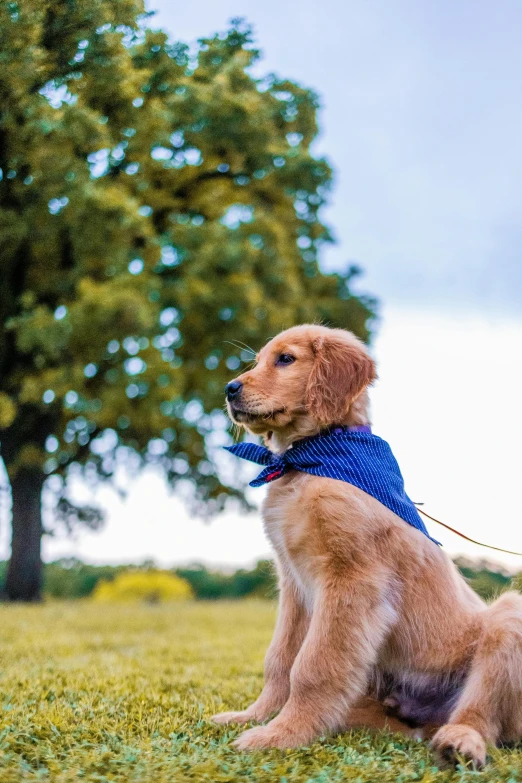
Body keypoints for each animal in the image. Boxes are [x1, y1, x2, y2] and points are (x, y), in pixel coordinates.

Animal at [210, 324, 520, 764]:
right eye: (257, 361)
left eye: (285, 359)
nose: (229, 388)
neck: (310, 459)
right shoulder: (295, 584)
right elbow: (281, 660)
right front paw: (255, 717)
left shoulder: (353, 579)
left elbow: (312, 666)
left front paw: (281, 735)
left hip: (509, 618)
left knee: (483, 717)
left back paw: (461, 741)